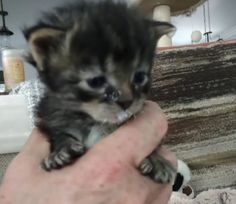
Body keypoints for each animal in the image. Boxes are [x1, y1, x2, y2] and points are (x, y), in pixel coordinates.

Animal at [24, 0, 177, 184]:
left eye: (140, 77)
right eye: (96, 81)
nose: (127, 102)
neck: (95, 122)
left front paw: (156, 160)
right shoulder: (50, 116)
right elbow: (59, 133)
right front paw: (61, 150)